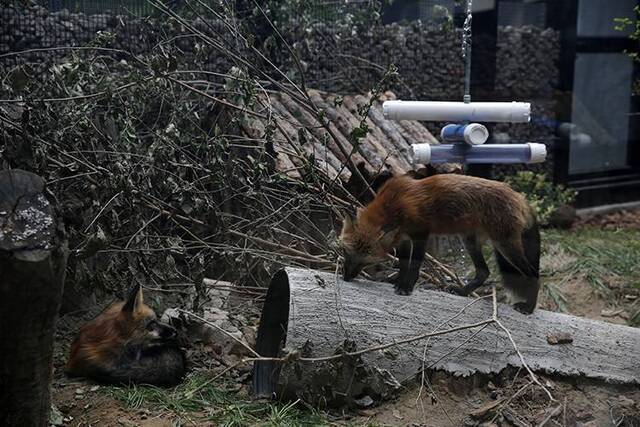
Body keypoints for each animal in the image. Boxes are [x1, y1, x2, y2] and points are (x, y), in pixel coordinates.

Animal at [340, 174, 540, 314]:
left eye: (366, 261)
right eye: (346, 252)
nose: (346, 277)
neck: (393, 204)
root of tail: (520, 197)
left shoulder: (421, 234)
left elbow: (414, 265)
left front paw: (406, 287)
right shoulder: (404, 238)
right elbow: (404, 264)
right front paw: (397, 282)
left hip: (505, 246)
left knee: (533, 274)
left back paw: (529, 307)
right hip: (470, 241)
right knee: (484, 272)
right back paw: (463, 291)